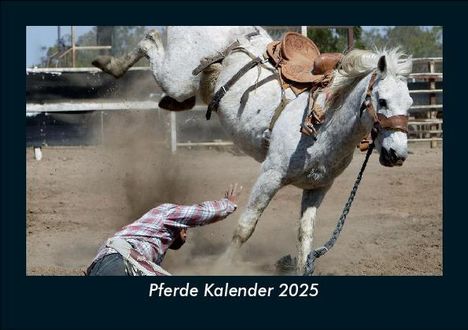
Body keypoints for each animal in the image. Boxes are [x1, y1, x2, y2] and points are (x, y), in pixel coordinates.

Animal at [92, 25, 414, 274]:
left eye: (410, 103)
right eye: (382, 100)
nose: (397, 155)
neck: (324, 122)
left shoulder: (318, 188)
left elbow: (305, 235)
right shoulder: (270, 175)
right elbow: (245, 227)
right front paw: (222, 267)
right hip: (178, 76)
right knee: (150, 39)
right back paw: (109, 63)